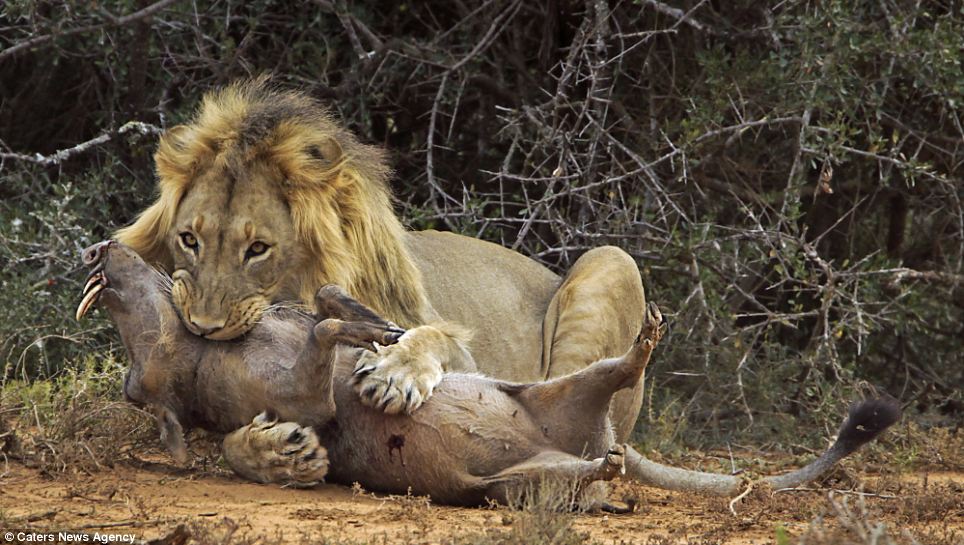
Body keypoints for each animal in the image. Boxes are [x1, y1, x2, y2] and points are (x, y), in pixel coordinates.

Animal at [118, 78, 648, 440]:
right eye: (190, 240)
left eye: (257, 250)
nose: (202, 327)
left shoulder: (457, 348)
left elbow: (432, 336)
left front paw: (396, 374)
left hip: (613, 258)